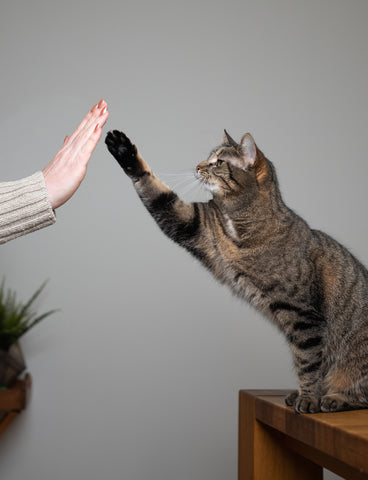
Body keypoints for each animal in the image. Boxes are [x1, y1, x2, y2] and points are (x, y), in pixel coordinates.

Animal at [104, 129, 368, 414]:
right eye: (208, 158)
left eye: (218, 162)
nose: (197, 166)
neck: (240, 220)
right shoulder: (195, 224)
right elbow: (158, 193)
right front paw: (124, 150)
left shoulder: (303, 316)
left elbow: (307, 364)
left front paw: (308, 398)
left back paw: (335, 398)